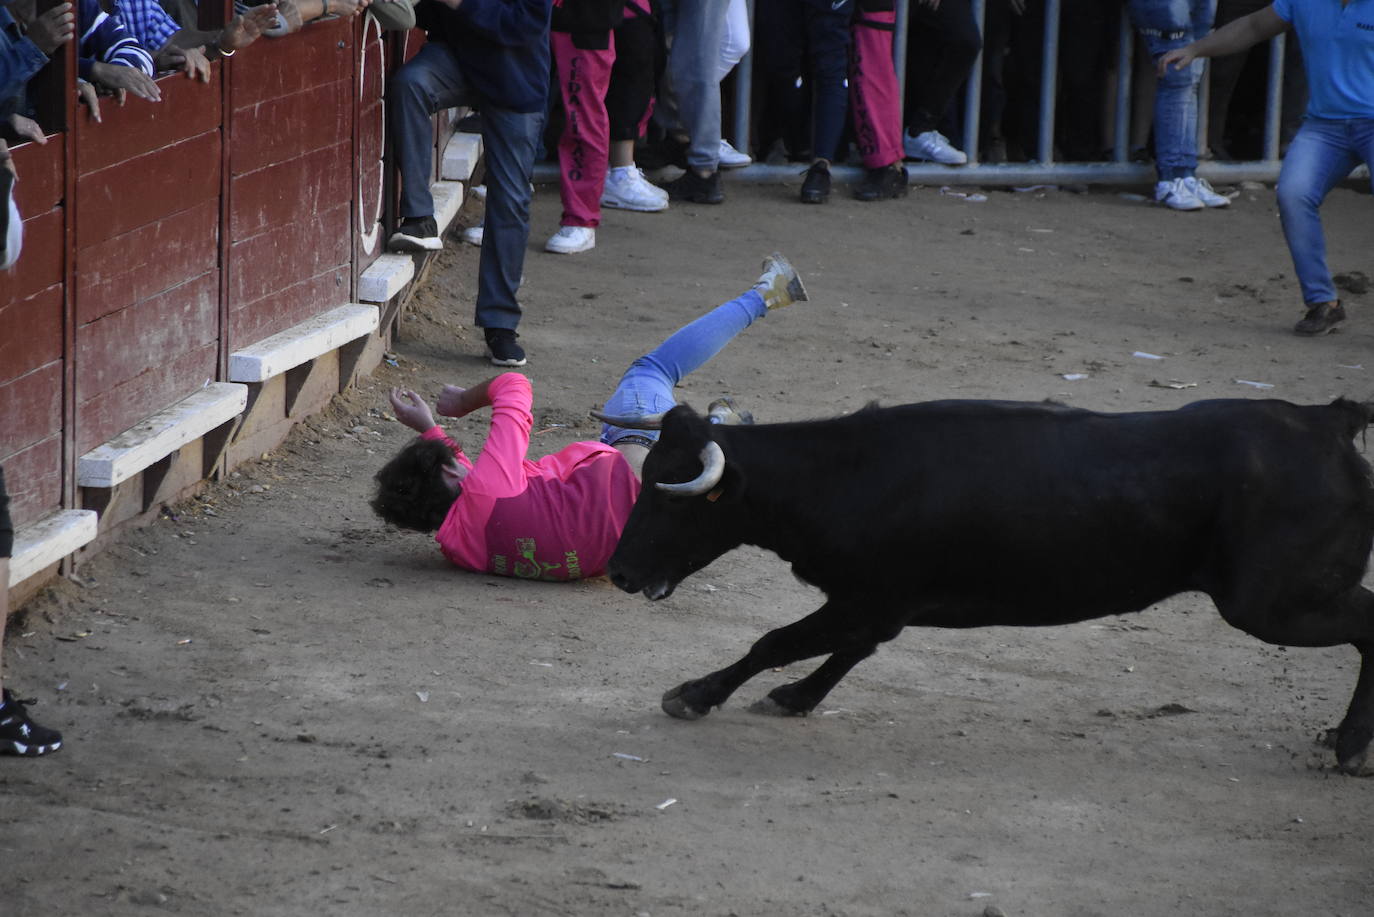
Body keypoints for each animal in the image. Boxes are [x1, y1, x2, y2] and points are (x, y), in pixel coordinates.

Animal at [604, 398, 1374, 780]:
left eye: (670, 495)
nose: (620, 572)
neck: (845, 473)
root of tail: (1327, 419)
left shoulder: (869, 598)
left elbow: (776, 640)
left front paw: (693, 694)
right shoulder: (878, 605)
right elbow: (842, 651)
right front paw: (792, 699)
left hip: (1271, 602)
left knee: (1367, 623)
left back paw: (1349, 745)